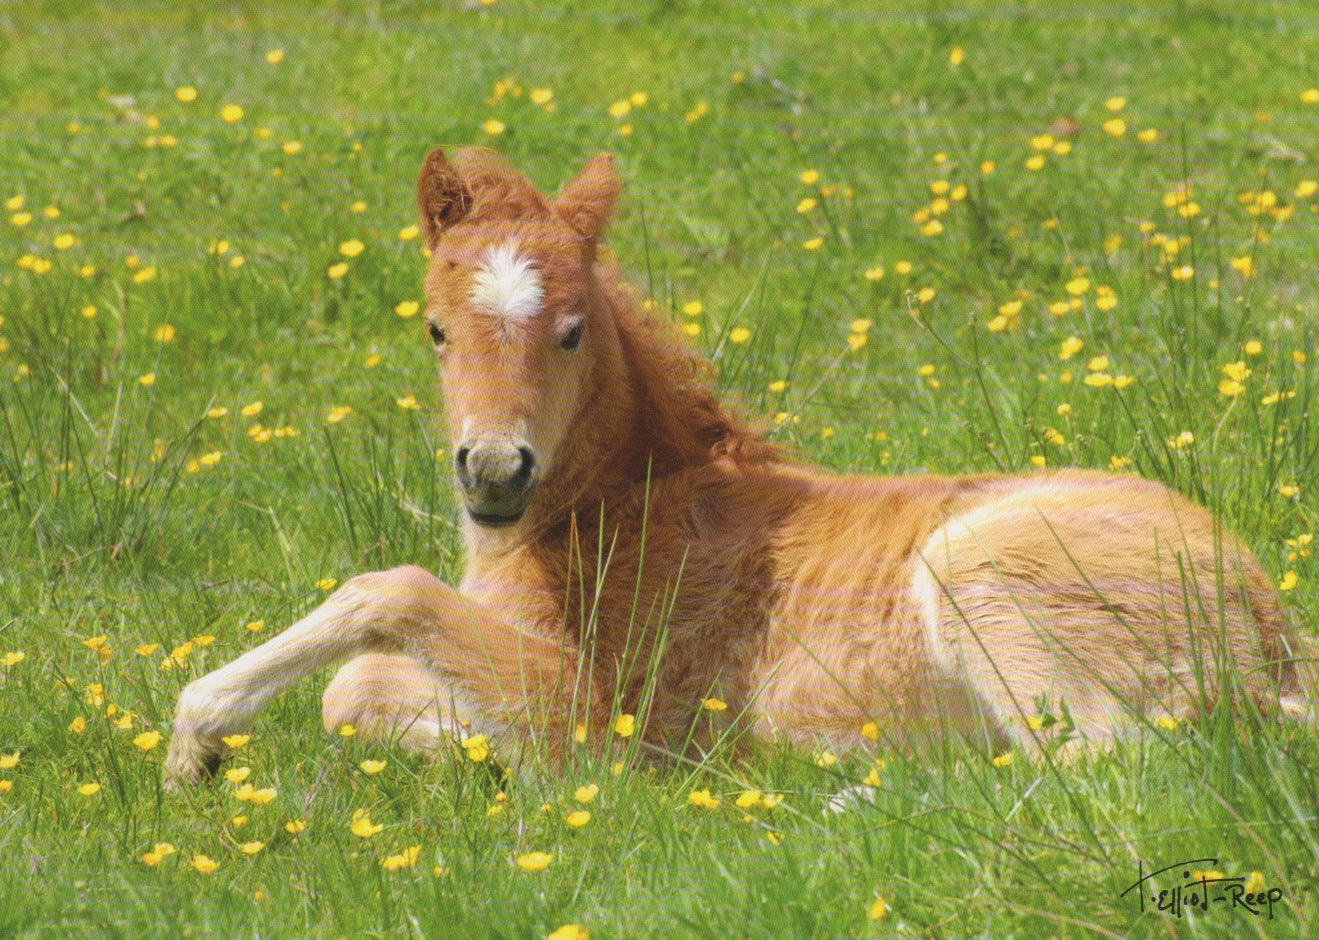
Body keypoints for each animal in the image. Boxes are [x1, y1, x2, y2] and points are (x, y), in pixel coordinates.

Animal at [164, 148, 1308, 785]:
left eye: (572, 330)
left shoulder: (597, 711)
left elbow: (384, 599)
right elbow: (354, 690)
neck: (611, 512)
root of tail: (1267, 628)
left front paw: (196, 743)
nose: (493, 471)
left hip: (988, 578)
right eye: (436, 330)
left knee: (1114, 762)